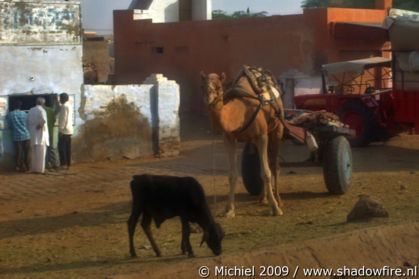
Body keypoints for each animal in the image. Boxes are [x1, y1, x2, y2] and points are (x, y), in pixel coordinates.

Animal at [202, 71, 288, 218]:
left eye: (218, 86)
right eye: (203, 85)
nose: (209, 97)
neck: (240, 112)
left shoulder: (262, 136)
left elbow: (266, 172)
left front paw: (275, 209)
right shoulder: (229, 138)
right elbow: (232, 175)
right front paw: (229, 210)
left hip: (277, 130)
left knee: (274, 166)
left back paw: (278, 200)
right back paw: (262, 198)